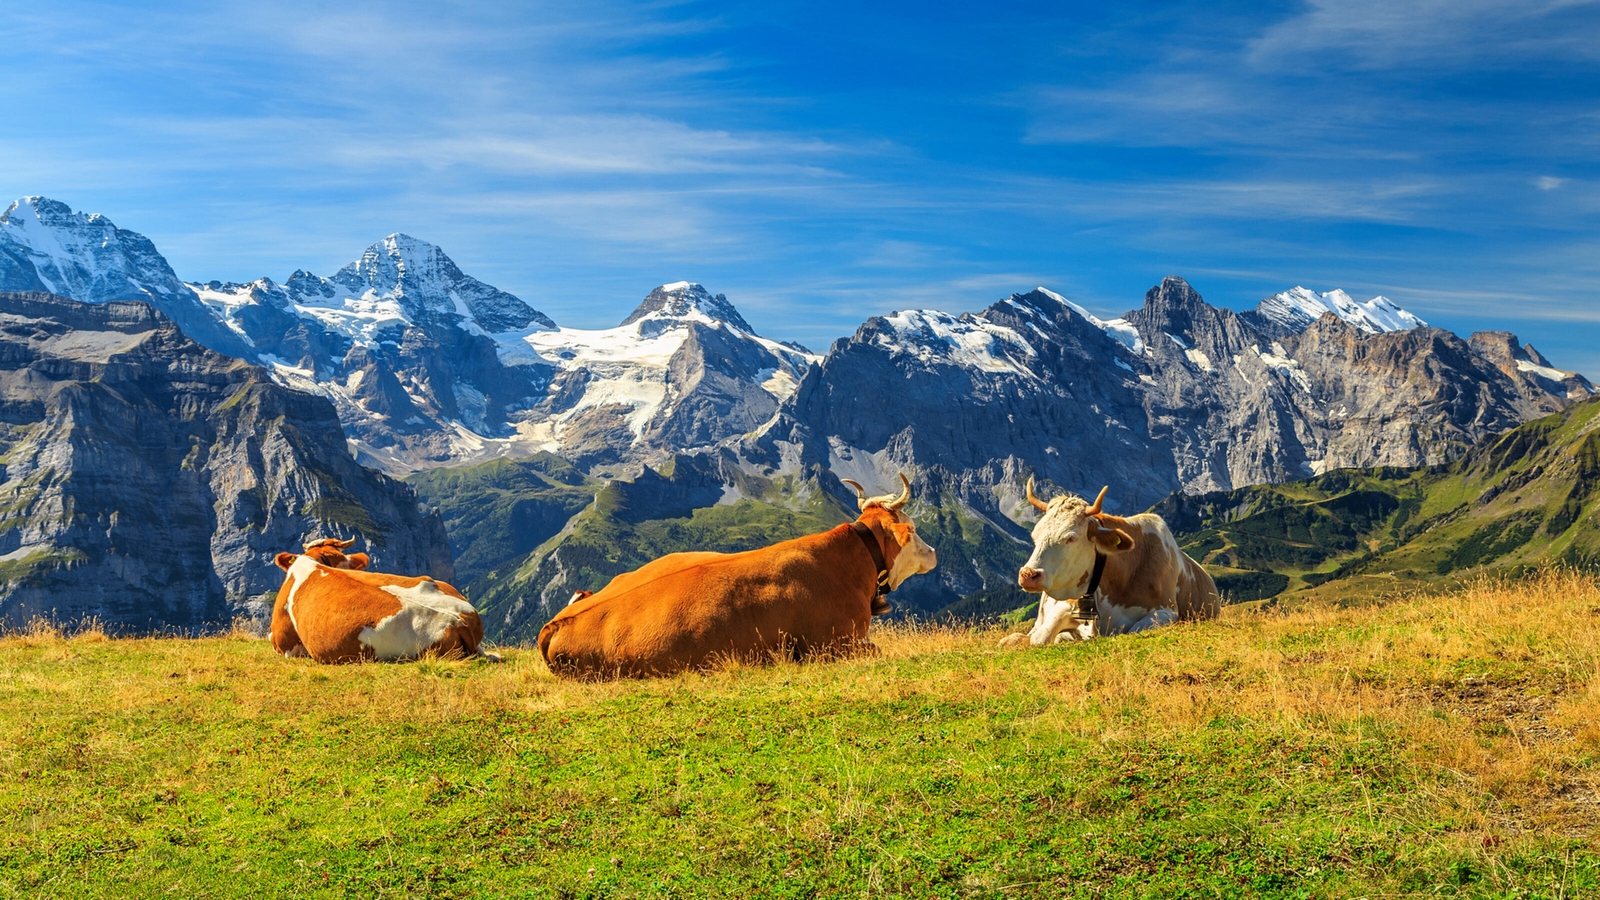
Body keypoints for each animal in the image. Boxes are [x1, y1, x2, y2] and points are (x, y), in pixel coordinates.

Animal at [1000, 481, 1219, 647]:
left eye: (1071, 537)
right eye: (1035, 535)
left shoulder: (1167, 612)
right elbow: (1041, 637)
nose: (1028, 575)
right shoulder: (1066, 606)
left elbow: (1133, 630)